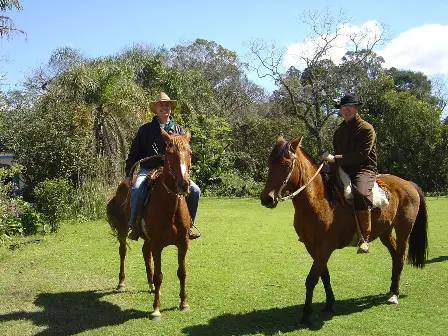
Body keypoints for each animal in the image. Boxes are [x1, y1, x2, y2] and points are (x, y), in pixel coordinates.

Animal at [108, 129, 194, 320]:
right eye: (169, 153)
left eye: (190, 153)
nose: (183, 184)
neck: (170, 208)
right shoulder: (157, 245)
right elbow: (159, 275)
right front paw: (156, 310)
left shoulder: (183, 243)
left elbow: (182, 272)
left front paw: (184, 303)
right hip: (123, 231)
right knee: (122, 252)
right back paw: (121, 282)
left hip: (147, 238)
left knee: (144, 252)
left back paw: (150, 286)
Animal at [260, 136, 428, 326]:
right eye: (269, 163)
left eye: (286, 164)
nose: (267, 199)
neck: (320, 199)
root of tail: (408, 183)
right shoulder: (312, 247)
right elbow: (323, 275)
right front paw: (329, 304)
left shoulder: (325, 247)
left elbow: (312, 278)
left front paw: (306, 314)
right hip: (385, 232)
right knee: (395, 256)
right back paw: (392, 290)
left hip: (403, 230)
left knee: (400, 257)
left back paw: (394, 295)